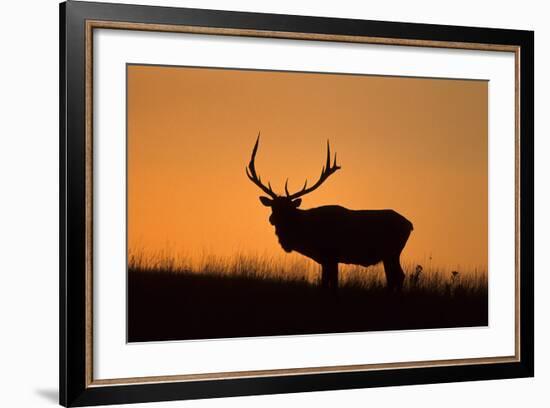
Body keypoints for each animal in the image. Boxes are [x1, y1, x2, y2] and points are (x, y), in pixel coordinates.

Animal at [246, 135, 414, 292]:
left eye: (288, 208)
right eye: (273, 207)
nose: (272, 219)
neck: (307, 235)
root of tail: (410, 225)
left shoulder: (331, 255)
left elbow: (331, 284)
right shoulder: (326, 259)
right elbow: (326, 283)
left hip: (392, 251)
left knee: (399, 276)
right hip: (389, 255)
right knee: (394, 277)